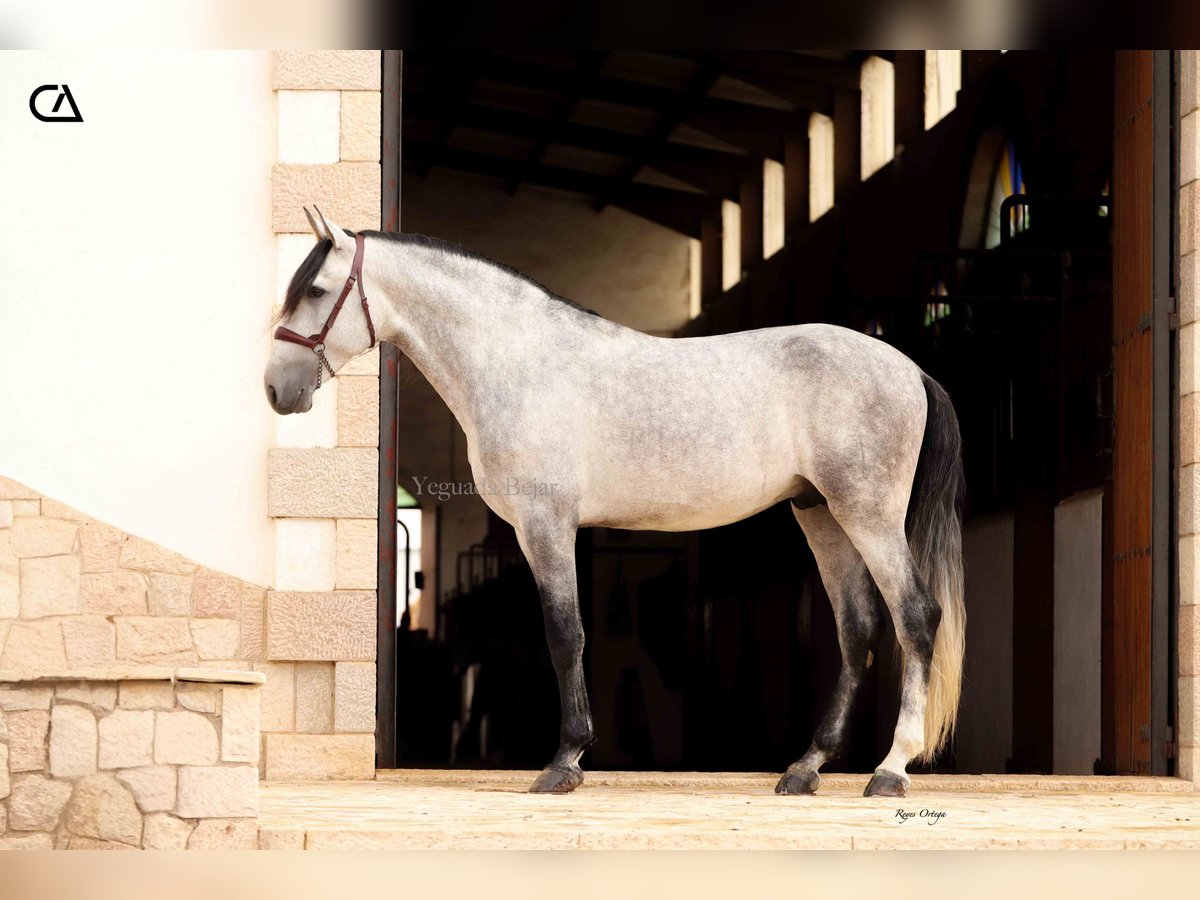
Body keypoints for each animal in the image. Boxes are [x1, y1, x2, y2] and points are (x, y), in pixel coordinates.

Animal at [262, 210, 964, 796]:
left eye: (316, 291)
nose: (275, 390)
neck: (520, 363)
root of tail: (908, 367)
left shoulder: (546, 525)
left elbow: (564, 633)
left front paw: (564, 762)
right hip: (822, 516)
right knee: (858, 630)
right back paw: (804, 768)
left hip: (867, 515)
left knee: (915, 616)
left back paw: (891, 770)